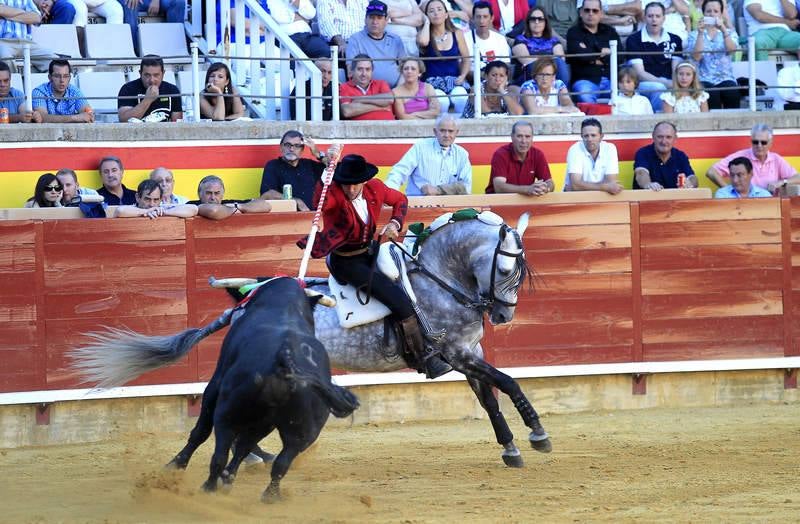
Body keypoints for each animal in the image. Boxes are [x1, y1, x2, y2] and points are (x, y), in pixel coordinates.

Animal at [167, 278, 358, 504]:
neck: (283, 305)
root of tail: (287, 362)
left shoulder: (215, 384)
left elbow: (202, 432)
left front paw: (174, 466)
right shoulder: (266, 421)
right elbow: (245, 446)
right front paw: (228, 479)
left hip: (227, 412)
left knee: (219, 453)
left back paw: (209, 488)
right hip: (303, 431)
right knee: (281, 462)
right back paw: (269, 496)